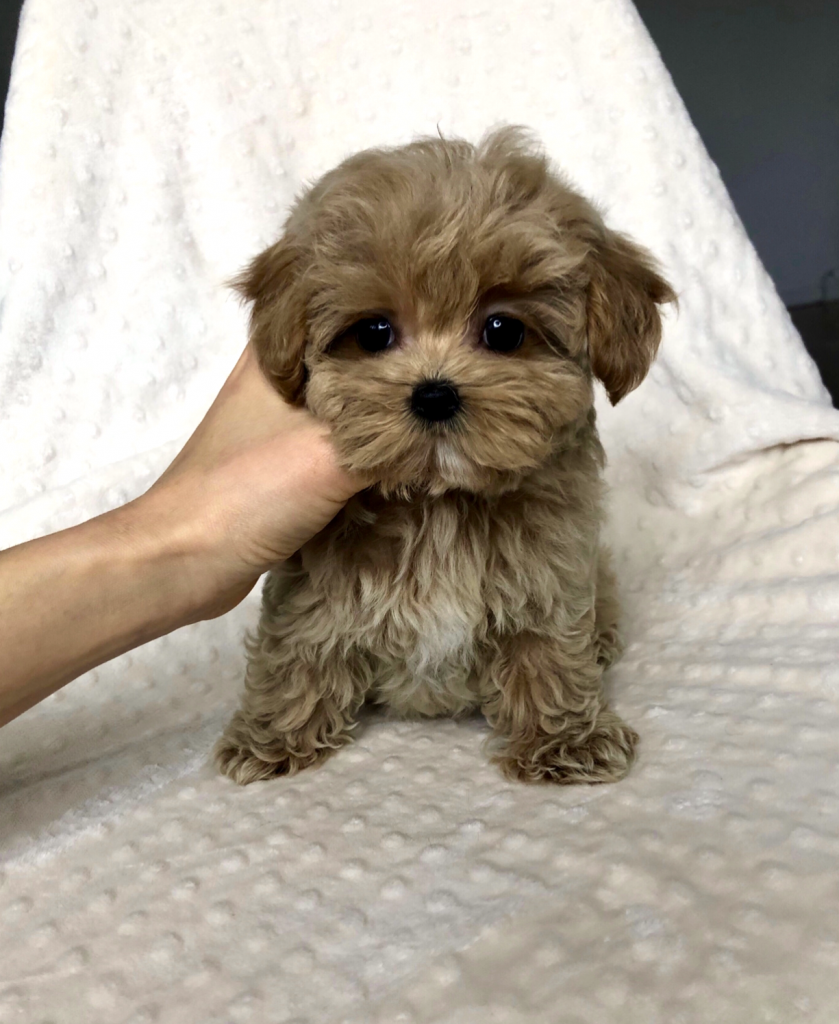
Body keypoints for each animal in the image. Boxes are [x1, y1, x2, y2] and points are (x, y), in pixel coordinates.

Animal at [216, 125, 676, 782]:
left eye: (504, 331)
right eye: (374, 333)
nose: (434, 394)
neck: (440, 500)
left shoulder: (551, 567)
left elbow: (546, 643)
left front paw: (563, 740)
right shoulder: (312, 578)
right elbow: (300, 639)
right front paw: (275, 735)